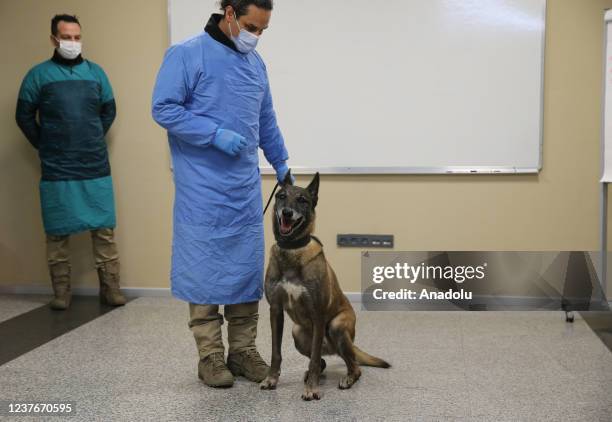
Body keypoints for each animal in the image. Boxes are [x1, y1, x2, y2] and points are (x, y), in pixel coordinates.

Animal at [260, 170, 390, 400]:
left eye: (302, 200)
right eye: (282, 196)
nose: (287, 213)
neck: (292, 250)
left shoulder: (318, 314)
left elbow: (312, 359)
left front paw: (312, 389)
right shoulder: (275, 310)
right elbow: (276, 353)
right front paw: (271, 379)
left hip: (336, 328)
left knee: (352, 365)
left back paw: (347, 378)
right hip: (298, 332)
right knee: (322, 360)